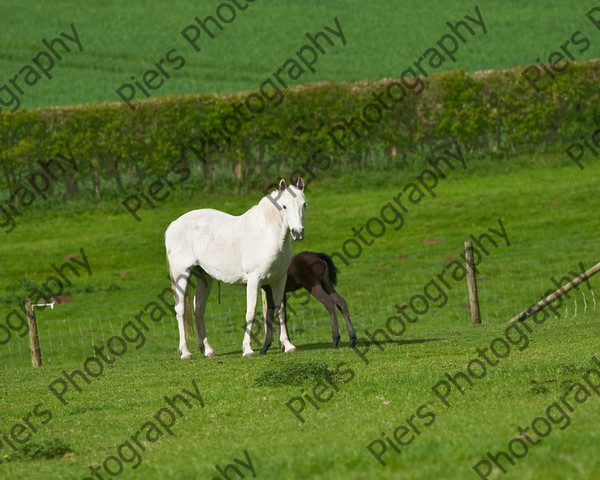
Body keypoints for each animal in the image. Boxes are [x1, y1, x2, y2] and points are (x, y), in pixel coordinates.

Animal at [164, 178, 308, 358]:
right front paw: (247, 349)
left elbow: (281, 310)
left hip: (205, 279)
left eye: (304, 204)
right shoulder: (254, 280)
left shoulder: (279, 280)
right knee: (181, 310)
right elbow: (250, 313)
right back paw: (185, 352)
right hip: (181, 275)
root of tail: (173, 225)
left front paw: (288, 345)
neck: (267, 234)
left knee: (199, 309)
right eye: (284, 206)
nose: (298, 233)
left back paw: (208, 350)